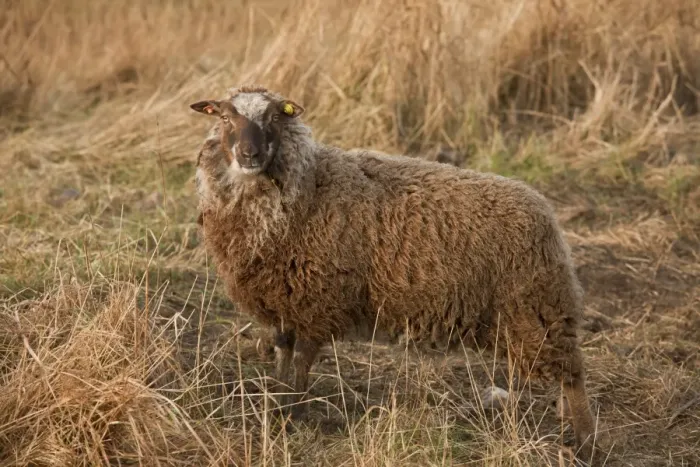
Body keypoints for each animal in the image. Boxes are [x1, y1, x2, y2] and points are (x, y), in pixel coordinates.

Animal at [188, 85, 599, 461]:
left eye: (275, 116)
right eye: (225, 117)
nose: (250, 154)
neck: (305, 189)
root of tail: (545, 211)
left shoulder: (317, 303)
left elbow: (302, 362)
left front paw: (292, 415)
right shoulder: (285, 303)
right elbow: (282, 355)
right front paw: (277, 404)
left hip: (538, 307)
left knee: (573, 375)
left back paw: (586, 441)